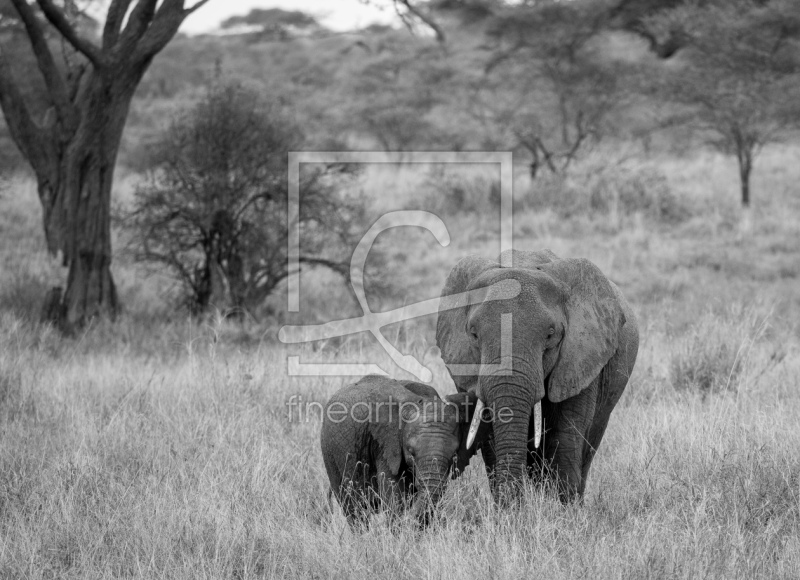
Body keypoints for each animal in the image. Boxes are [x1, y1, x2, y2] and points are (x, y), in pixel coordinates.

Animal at [322, 374, 478, 528]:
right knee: (354, 510)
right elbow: (394, 496)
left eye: (454, 455)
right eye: (410, 452)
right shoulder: (384, 444)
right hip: (329, 453)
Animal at [434, 249, 640, 502]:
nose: (514, 505)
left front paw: (564, 509)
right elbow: (490, 434)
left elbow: (565, 437)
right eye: (473, 334)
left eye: (551, 335)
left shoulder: (582, 359)